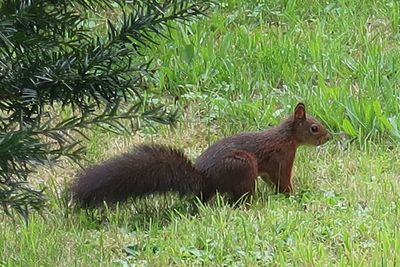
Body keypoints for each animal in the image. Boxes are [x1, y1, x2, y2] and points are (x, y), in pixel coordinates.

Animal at [70, 103, 330, 207]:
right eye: (314, 127)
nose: (328, 137)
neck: (287, 137)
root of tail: (205, 179)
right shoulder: (281, 159)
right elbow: (283, 180)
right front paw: (294, 195)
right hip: (243, 166)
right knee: (239, 199)